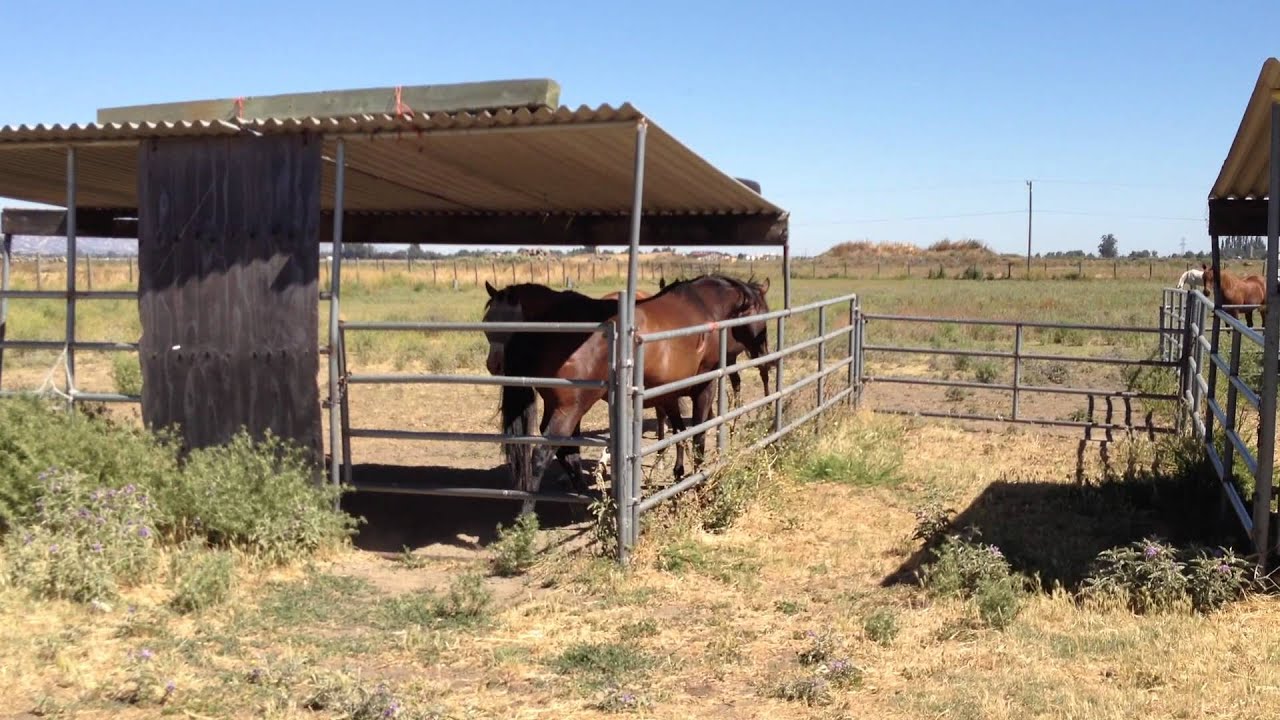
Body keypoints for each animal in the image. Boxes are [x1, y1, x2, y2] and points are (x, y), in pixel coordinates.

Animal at [500, 274, 772, 505]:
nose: (765, 356)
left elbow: (679, 433)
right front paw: (698, 480)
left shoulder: (668, 394)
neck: (704, 308)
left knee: (566, 451)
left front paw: (678, 473)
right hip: (570, 408)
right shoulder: (703, 388)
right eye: (762, 315)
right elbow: (697, 435)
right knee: (542, 454)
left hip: (557, 406)